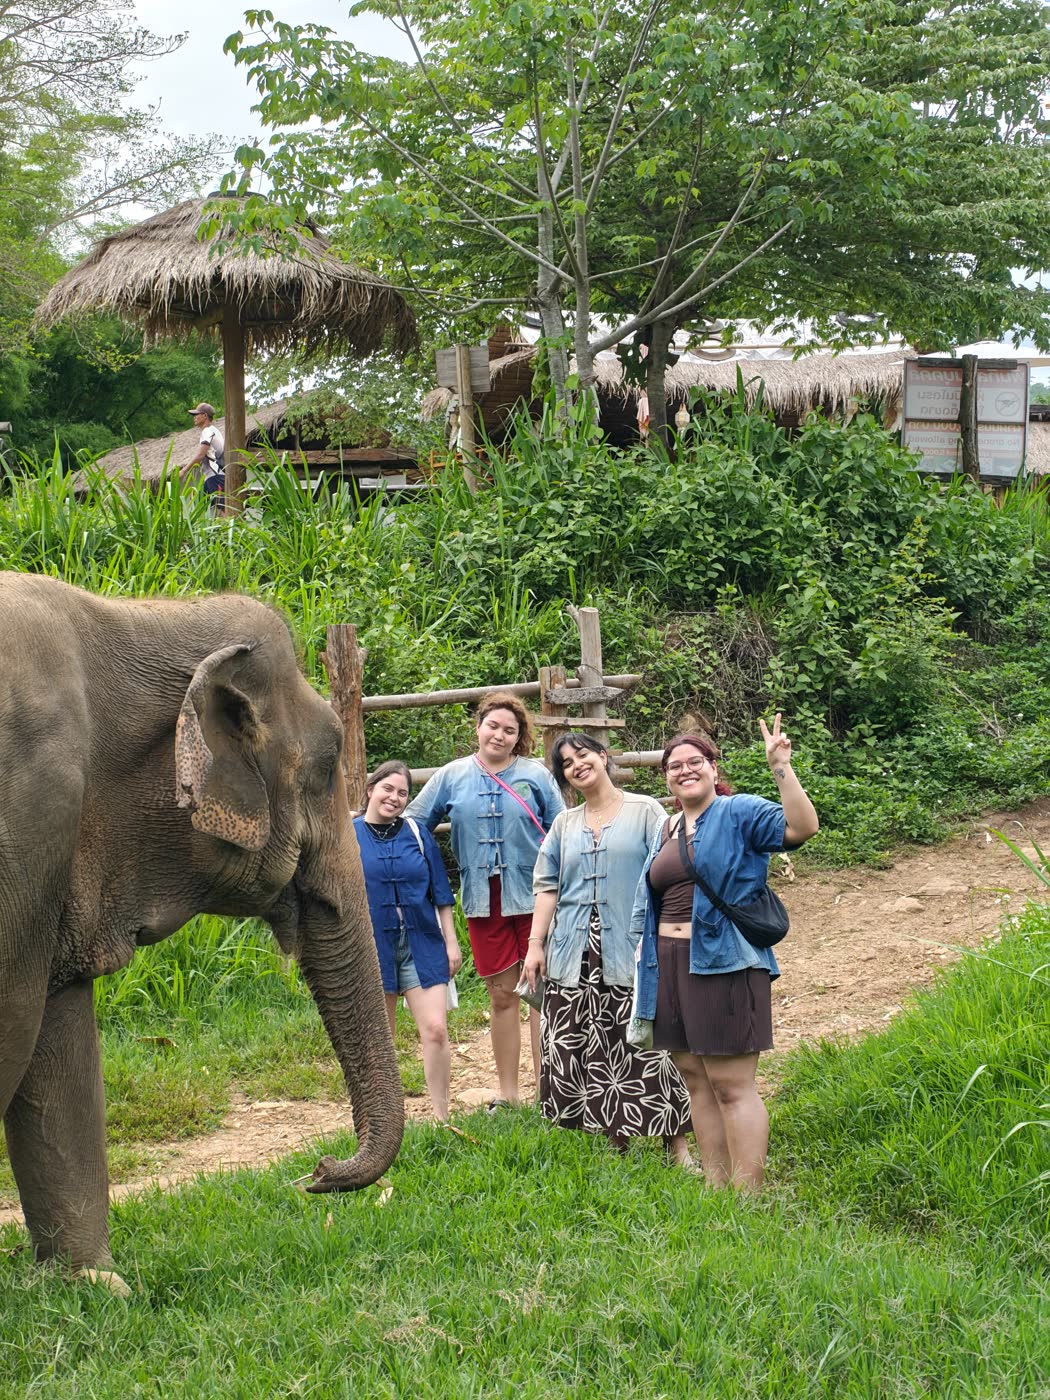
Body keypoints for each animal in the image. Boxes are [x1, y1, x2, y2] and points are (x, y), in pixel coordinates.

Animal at [0, 571, 403, 1277]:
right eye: (329, 764)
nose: (318, 1171)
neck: (142, 617)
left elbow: (55, 1037)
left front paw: (94, 1284)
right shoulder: (29, 814)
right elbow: (14, 1028)